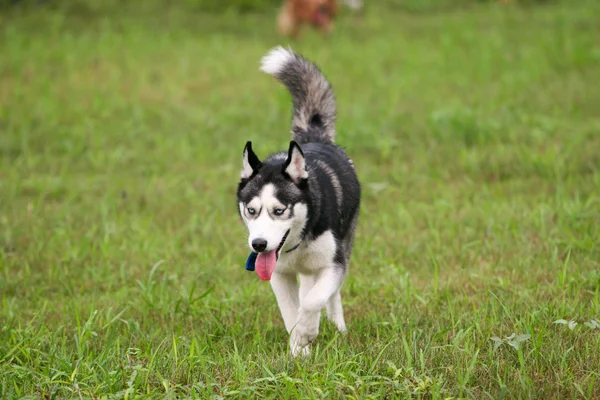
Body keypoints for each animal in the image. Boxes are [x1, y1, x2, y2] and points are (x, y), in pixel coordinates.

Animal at [237, 47, 360, 356]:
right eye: (251, 210)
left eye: (279, 210)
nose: (259, 245)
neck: (297, 242)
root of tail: (313, 137)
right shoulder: (279, 274)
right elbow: (291, 312)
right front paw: (299, 349)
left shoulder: (333, 264)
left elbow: (314, 300)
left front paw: (308, 332)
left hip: (345, 244)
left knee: (331, 295)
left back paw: (339, 328)